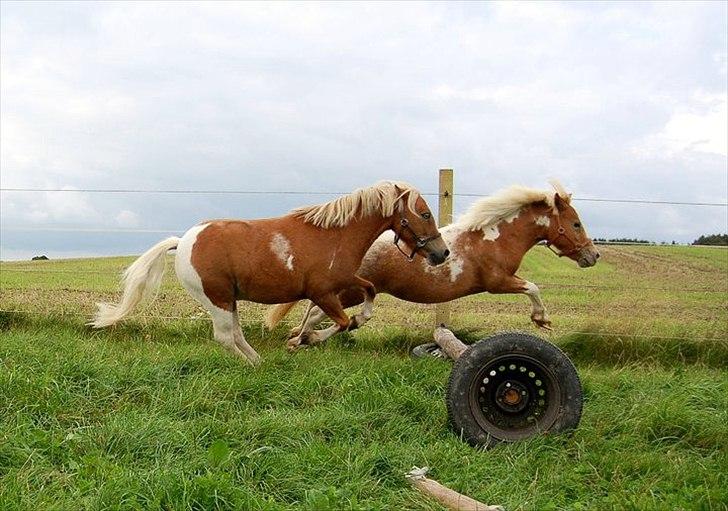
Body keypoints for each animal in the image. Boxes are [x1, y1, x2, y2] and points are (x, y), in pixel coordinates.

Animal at [91, 182, 450, 366]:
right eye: (424, 213)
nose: (442, 252)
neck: (334, 236)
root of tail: (182, 242)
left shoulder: (344, 281)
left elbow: (369, 295)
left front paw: (301, 337)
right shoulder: (322, 292)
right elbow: (340, 322)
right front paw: (302, 340)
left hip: (229, 301)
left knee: (235, 334)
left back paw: (259, 361)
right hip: (216, 299)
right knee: (225, 337)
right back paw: (253, 364)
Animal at [270, 181, 600, 348]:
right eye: (576, 223)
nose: (593, 256)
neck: (496, 238)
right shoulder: (498, 282)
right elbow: (533, 287)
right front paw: (542, 320)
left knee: (318, 313)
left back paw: (302, 338)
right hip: (348, 291)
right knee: (318, 312)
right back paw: (303, 338)